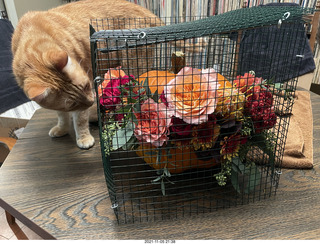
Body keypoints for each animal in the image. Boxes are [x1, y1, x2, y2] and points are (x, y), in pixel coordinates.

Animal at [11, 0, 162, 149]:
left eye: (86, 86)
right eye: (71, 104)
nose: (90, 102)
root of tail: (150, 14)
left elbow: (80, 120)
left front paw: (84, 138)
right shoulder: (64, 106)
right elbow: (62, 116)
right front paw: (62, 128)